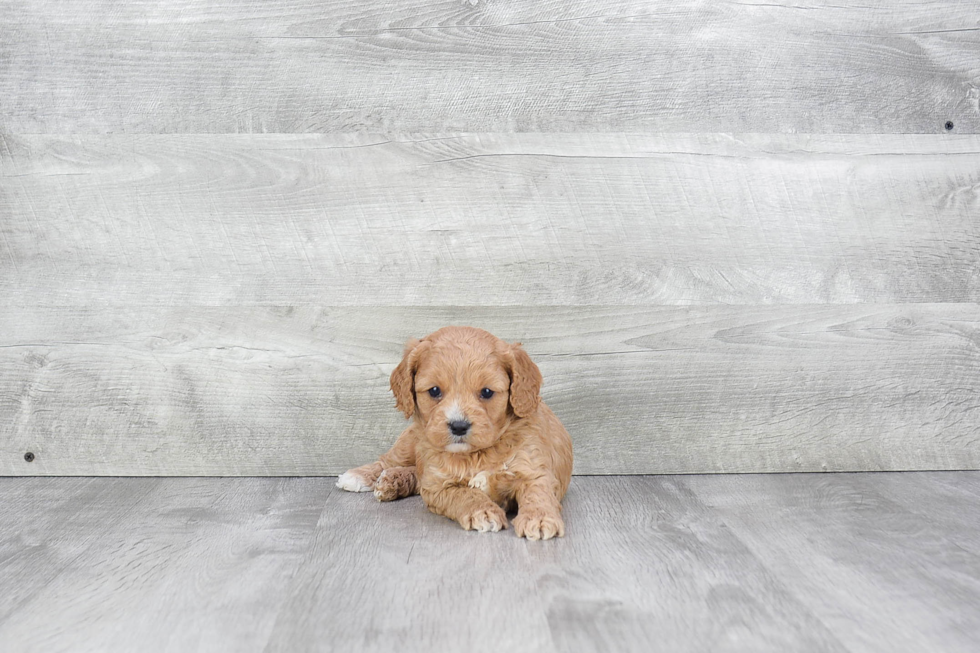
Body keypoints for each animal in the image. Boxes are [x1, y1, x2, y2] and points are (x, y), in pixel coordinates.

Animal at [338, 326, 576, 540]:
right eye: (434, 391)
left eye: (487, 392)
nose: (459, 426)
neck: (476, 454)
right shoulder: (438, 486)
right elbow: (464, 494)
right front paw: (484, 512)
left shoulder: (534, 469)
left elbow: (538, 493)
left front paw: (540, 519)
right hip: (409, 441)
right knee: (388, 460)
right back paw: (359, 476)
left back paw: (391, 482)